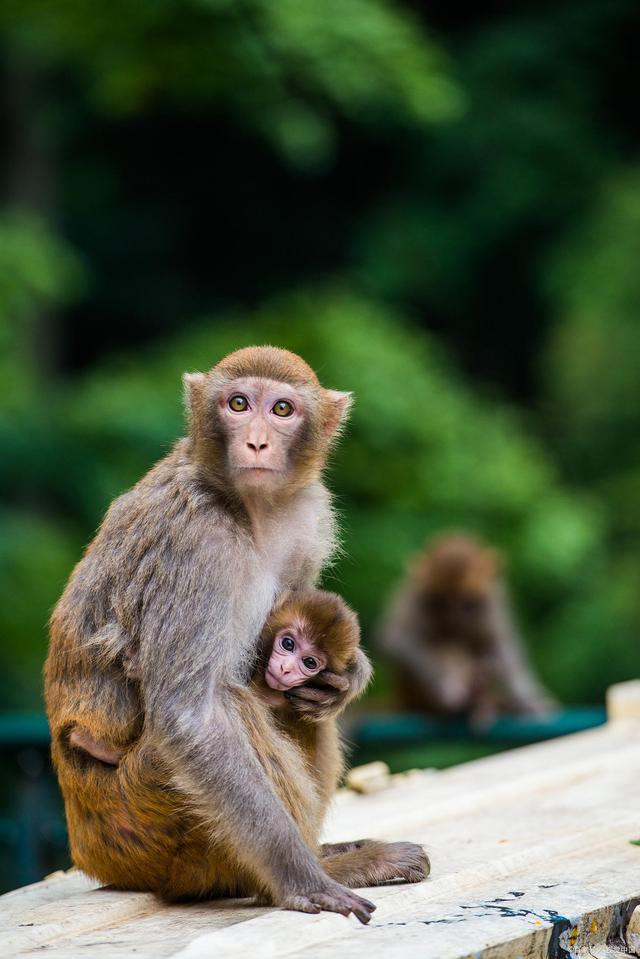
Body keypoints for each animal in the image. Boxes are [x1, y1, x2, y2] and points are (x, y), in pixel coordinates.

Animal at [43, 344, 424, 924]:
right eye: (239, 404)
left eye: (282, 409)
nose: (257, 441)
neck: (249, 507)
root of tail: (88, 850)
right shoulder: (197, 544)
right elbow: (192, 716)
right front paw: (304, 881)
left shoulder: (306, 517)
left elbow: (304, 615)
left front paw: (349, 675)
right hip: (140, 823)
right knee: (230, 705)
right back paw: (316, 869)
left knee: (300, 712)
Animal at [378, 532, 552, 728]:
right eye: (441, 602)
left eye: (466, 603)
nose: (454, 617)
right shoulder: (416, 598)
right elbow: (398, 639)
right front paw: (445, 687)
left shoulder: (491, 602)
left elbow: (499, 643)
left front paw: (523, 699)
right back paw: (473, 697)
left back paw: (486, 699)